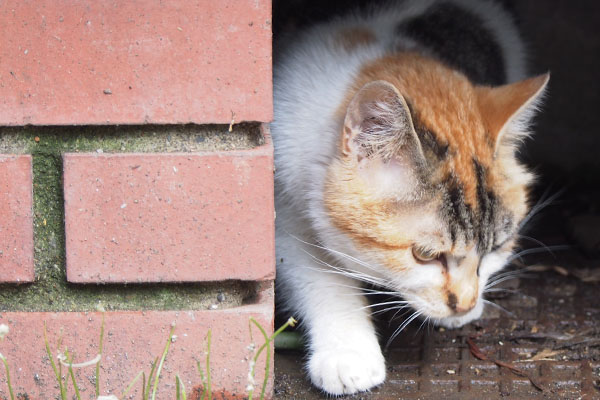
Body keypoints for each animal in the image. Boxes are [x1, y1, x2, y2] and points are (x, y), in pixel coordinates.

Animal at [272, 0, 548, 394]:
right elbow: (319, 278)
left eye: (495, 249)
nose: (465, 305)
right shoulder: (285, 208)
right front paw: (349, 354)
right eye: (425, 255)